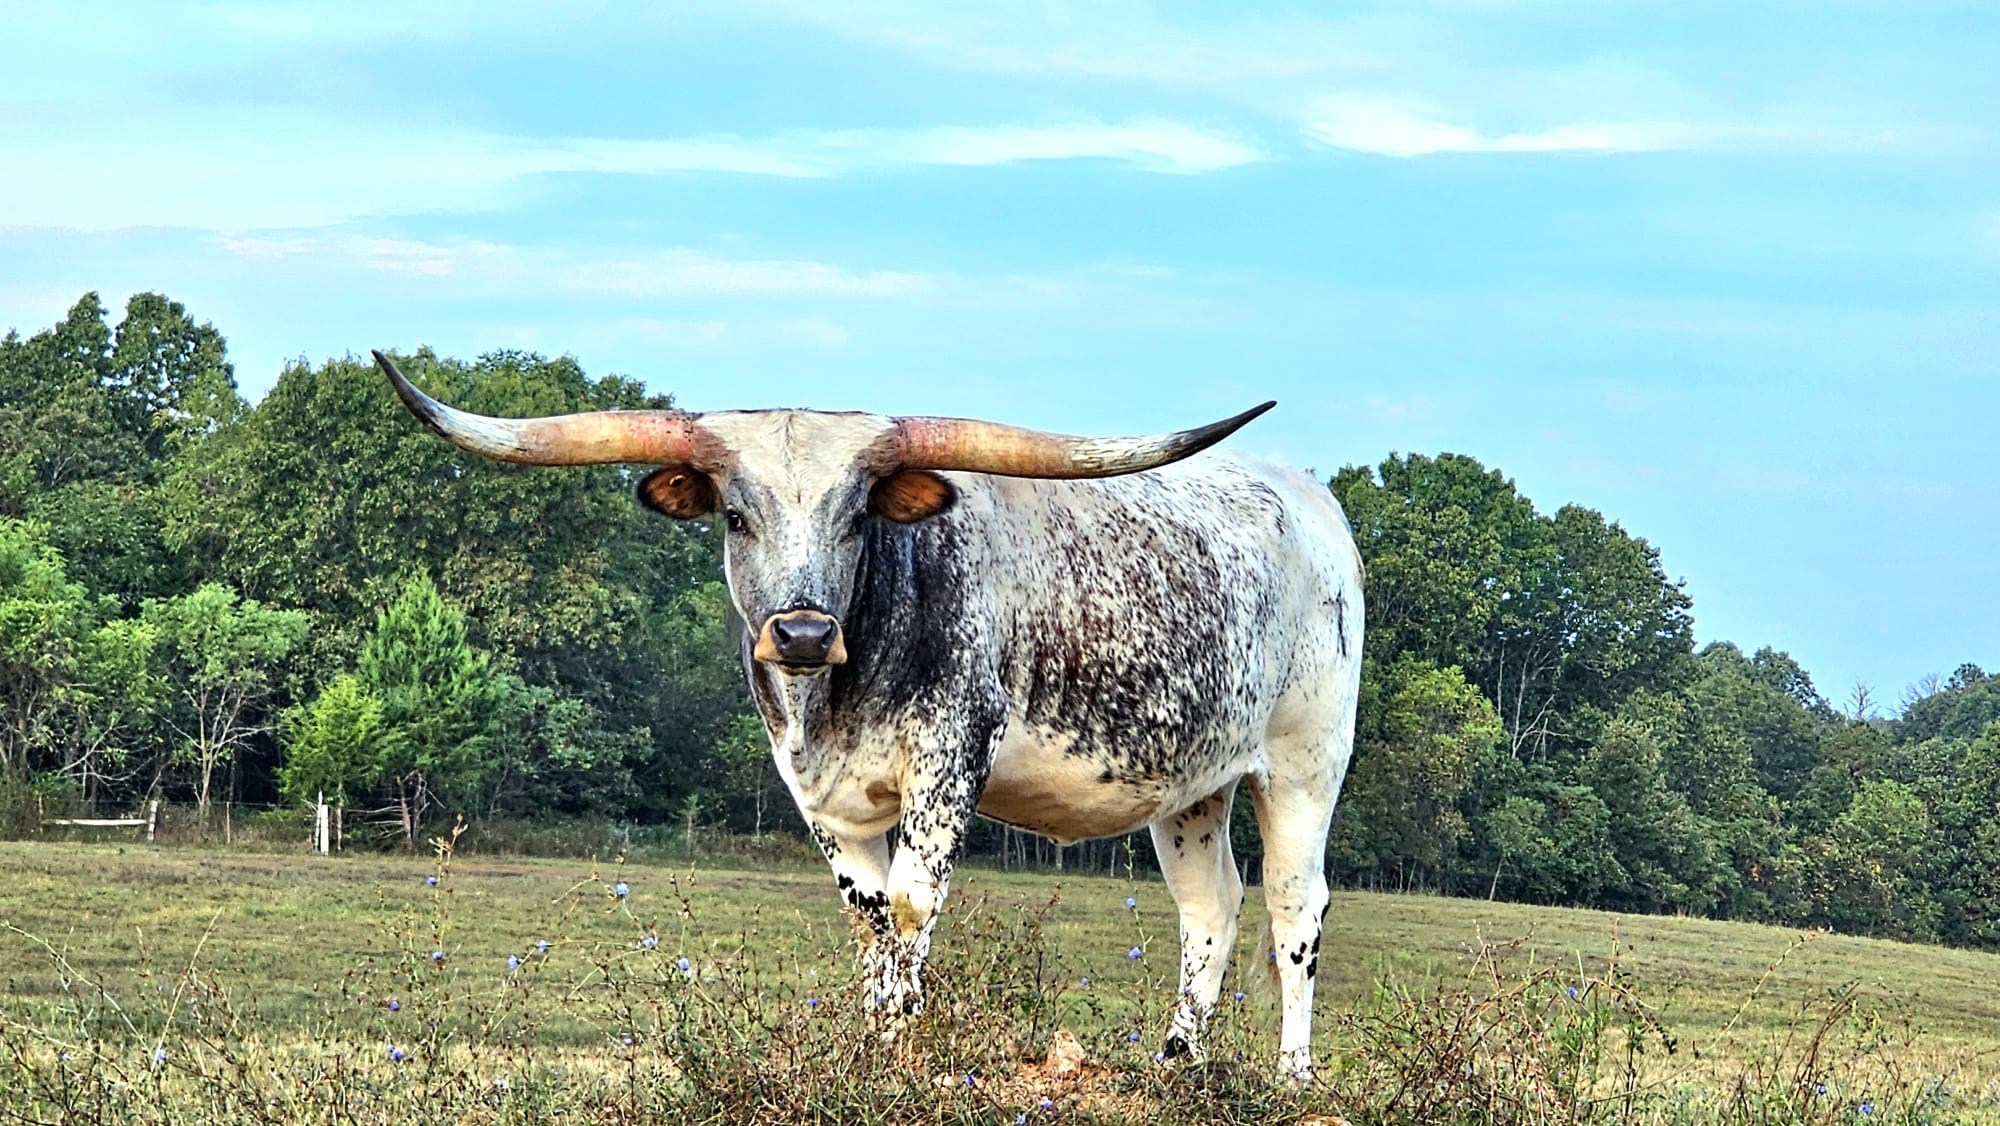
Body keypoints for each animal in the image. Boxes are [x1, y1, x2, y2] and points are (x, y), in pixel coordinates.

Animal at [373, 351, 1363, 1078]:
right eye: (735, 516)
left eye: (857, 517)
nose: (805, 631)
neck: (840, 695)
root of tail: (1313, 502)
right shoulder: (821, 796)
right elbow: (871, 917)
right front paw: (874, 1045)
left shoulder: (951, 755)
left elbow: (914, 907)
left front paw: (907, 1047)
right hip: (1192, 784)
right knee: (1209, 907)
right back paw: (1175, 1063)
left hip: (1305, 762)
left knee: (1293, 907)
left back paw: (1291, 1077)